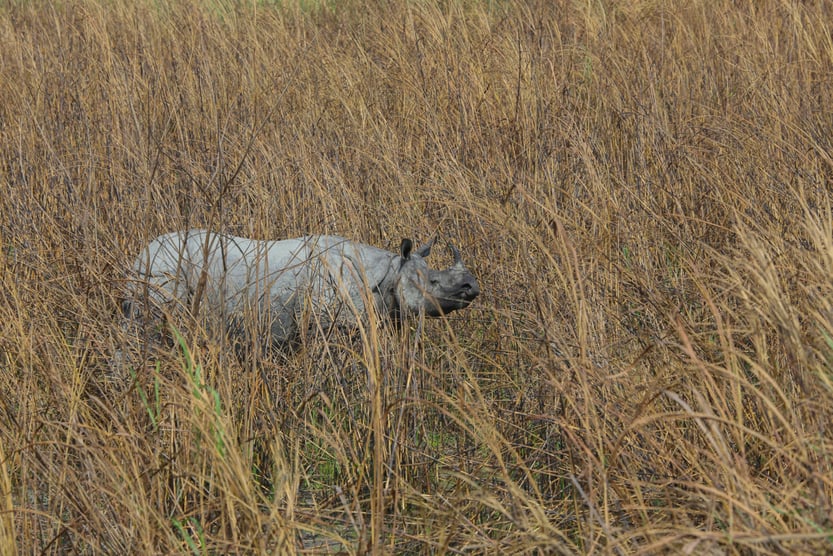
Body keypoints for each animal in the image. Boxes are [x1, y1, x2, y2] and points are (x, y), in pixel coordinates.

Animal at [124, 229, 480, 350]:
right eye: (433, 283)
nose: (472, 287)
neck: (390, 272)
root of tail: (139, 256)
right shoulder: (334, 326)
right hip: (160, 275)